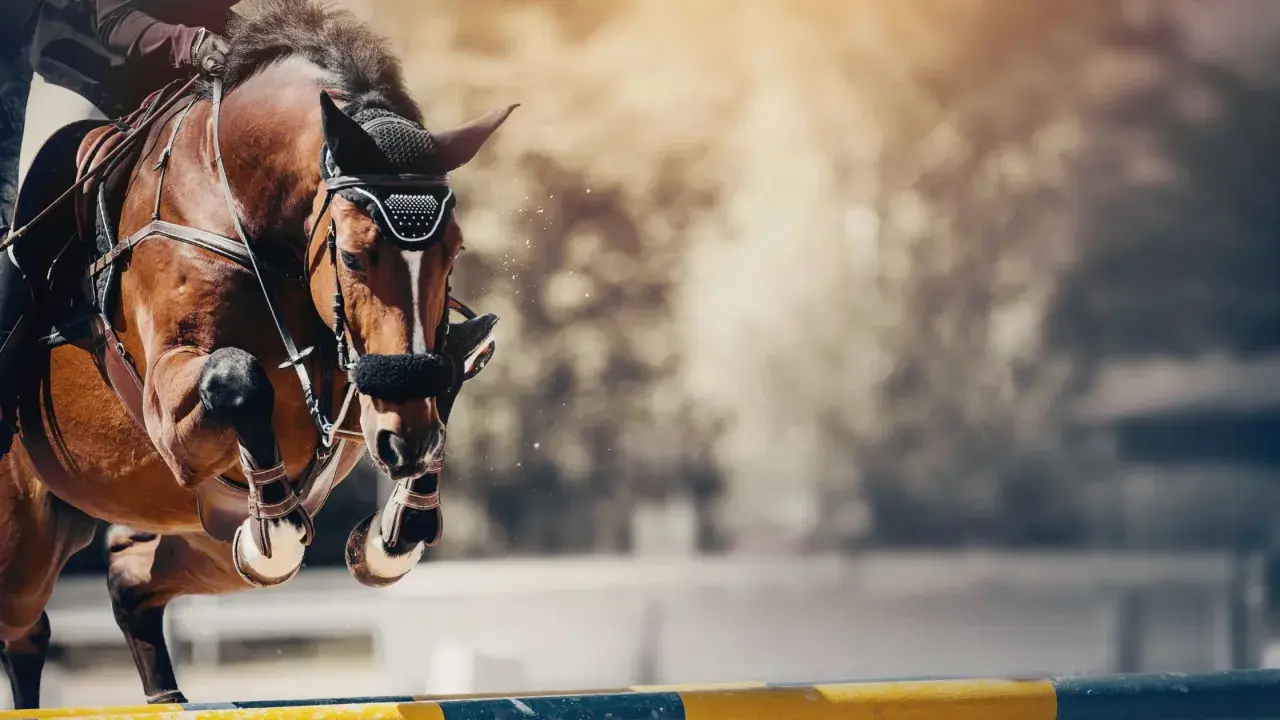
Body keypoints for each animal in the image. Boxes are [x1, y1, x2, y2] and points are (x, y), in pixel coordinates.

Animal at [0, 0, 515, 708]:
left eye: (454, 252)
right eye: (353, 255)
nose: (403, 444)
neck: (243, 210)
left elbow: (447, 376)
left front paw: (394, 534)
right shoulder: (168, 408)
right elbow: (241, 379)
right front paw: (276, 525)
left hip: (195, 542)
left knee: (126, 581)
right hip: (25, 540)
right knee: (26, 626)